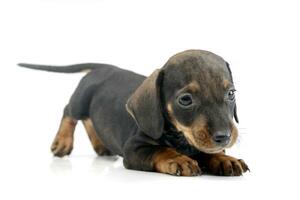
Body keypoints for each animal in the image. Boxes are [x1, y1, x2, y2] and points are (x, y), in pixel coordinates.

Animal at [18, 50, 248, 177]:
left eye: (231, 93)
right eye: (185, 100)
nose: (224, 137)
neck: (180, 137)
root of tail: (102, 68)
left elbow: (209, 151)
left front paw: (224, 159)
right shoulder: (134, 149)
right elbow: (160, 150)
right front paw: (178, 159)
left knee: (88, 120)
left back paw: (101, 145)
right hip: (81, 100)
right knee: (70, 111)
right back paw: (62, 143)